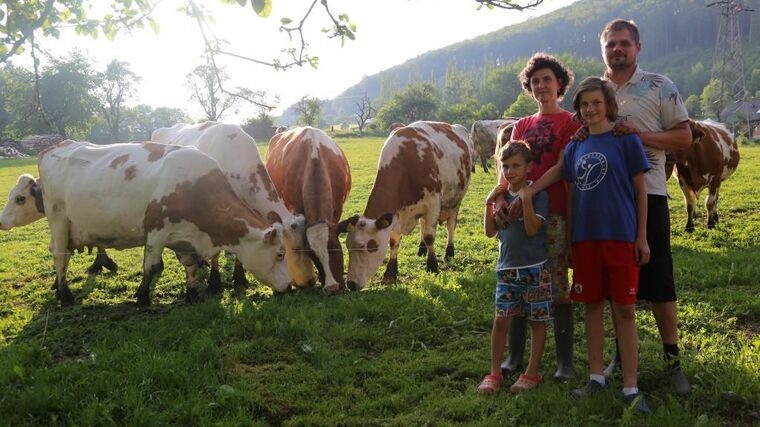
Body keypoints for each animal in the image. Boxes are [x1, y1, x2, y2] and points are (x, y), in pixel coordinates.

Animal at [35, 141, 290, 308]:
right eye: (280, 254)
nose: (289, 286)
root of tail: (56, 146)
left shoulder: (185, 237)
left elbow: (191, 266)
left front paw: (191, 294)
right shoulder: (156, 231)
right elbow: (151, 267)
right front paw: (142, 296)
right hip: (58, 218)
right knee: (60, 257)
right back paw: (65, 295)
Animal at [342, 120, 472, 290]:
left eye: (364, 246)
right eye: (348, 246)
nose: (350, 284)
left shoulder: (433, 203)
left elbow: (430, 237)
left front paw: (433, 266)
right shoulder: (396, 213)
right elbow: (394, 241)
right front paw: (390, 272)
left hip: (456, 201)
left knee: (451, 225)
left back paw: (449, 252)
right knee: (423, 223)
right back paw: (421, 249)